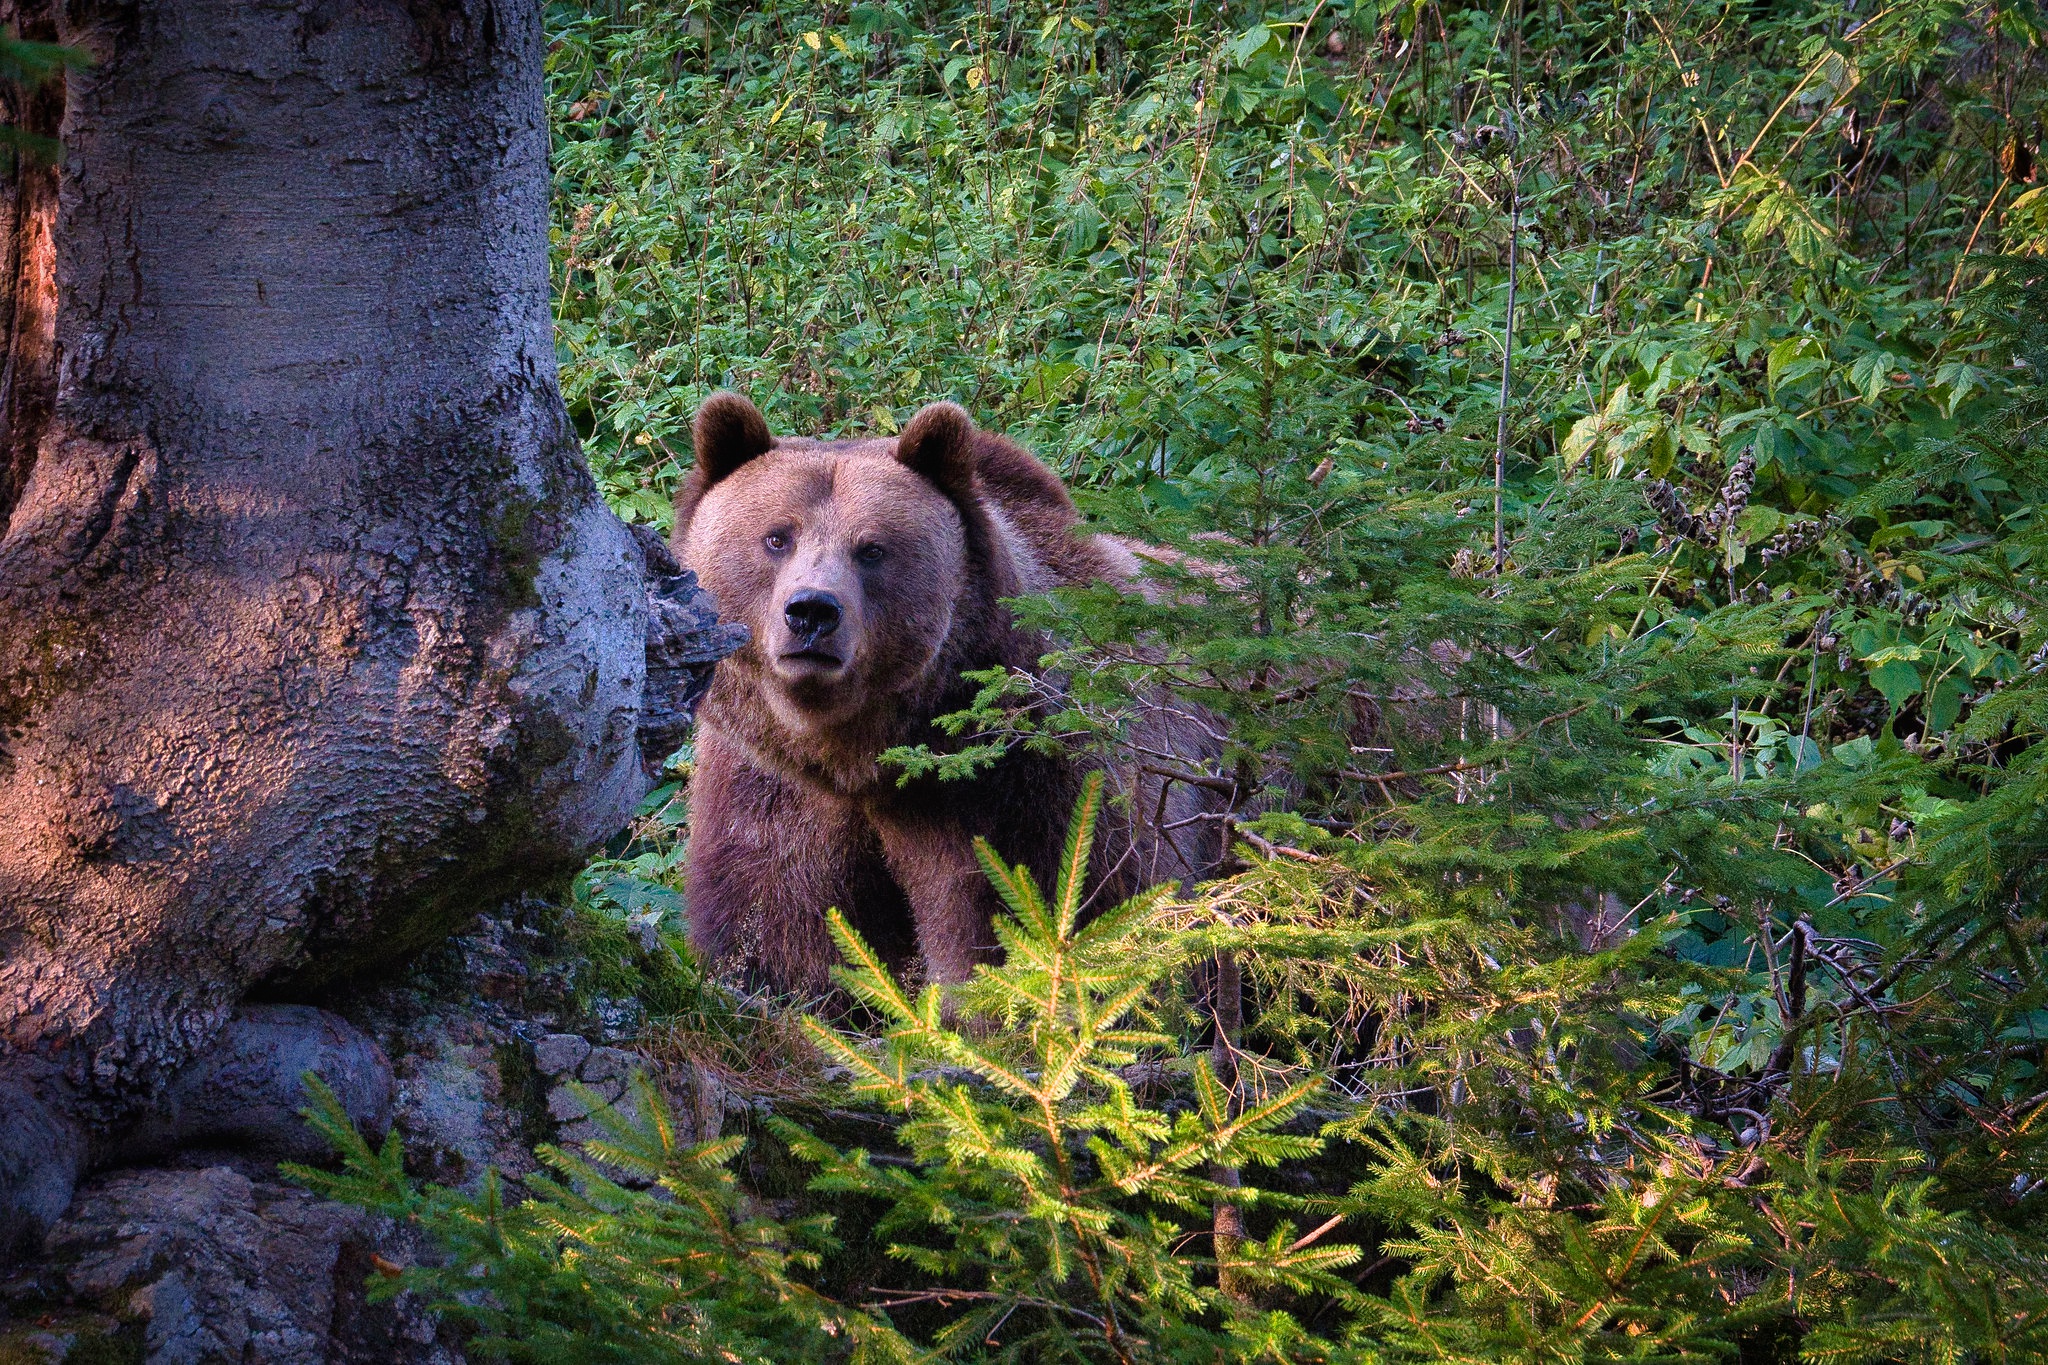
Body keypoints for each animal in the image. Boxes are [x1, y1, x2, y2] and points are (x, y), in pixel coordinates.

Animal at [671, 392, 1212, 994]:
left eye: (872, 549)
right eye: (775, 537)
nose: (811, 612)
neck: (861, 759)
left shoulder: (1017, 781)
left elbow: (1030, 908)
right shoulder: (772, 787)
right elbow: (772, 917)